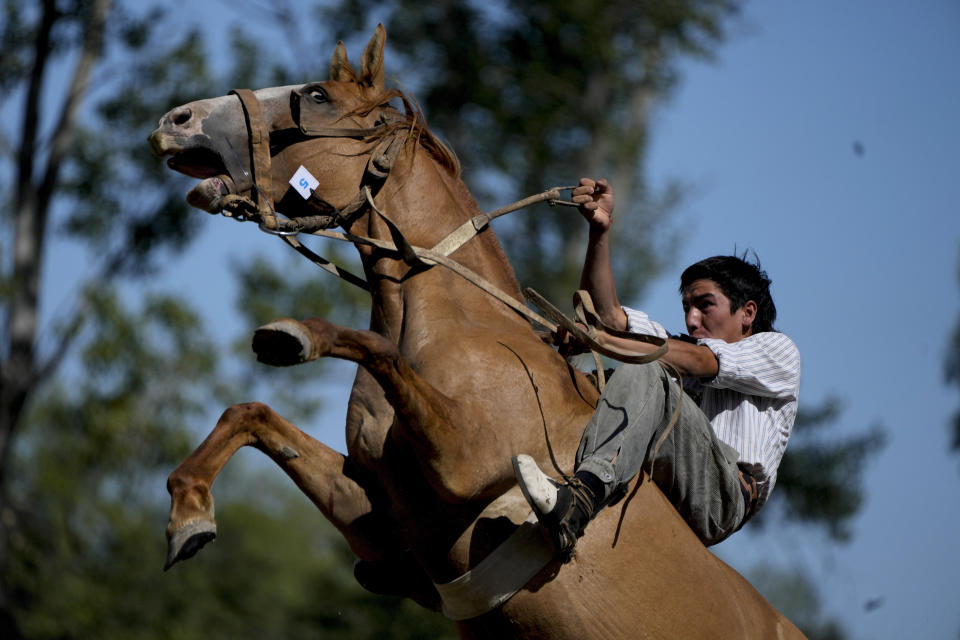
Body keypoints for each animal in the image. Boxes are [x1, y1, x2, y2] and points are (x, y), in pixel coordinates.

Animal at [150, 26, 808, 640]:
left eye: (315, 96)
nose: (176, 121)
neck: (466, 329)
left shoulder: (464, 464)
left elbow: (377, 349)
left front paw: (293, 336)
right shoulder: (382, 518)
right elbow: (251, 414)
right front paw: (189, 515)